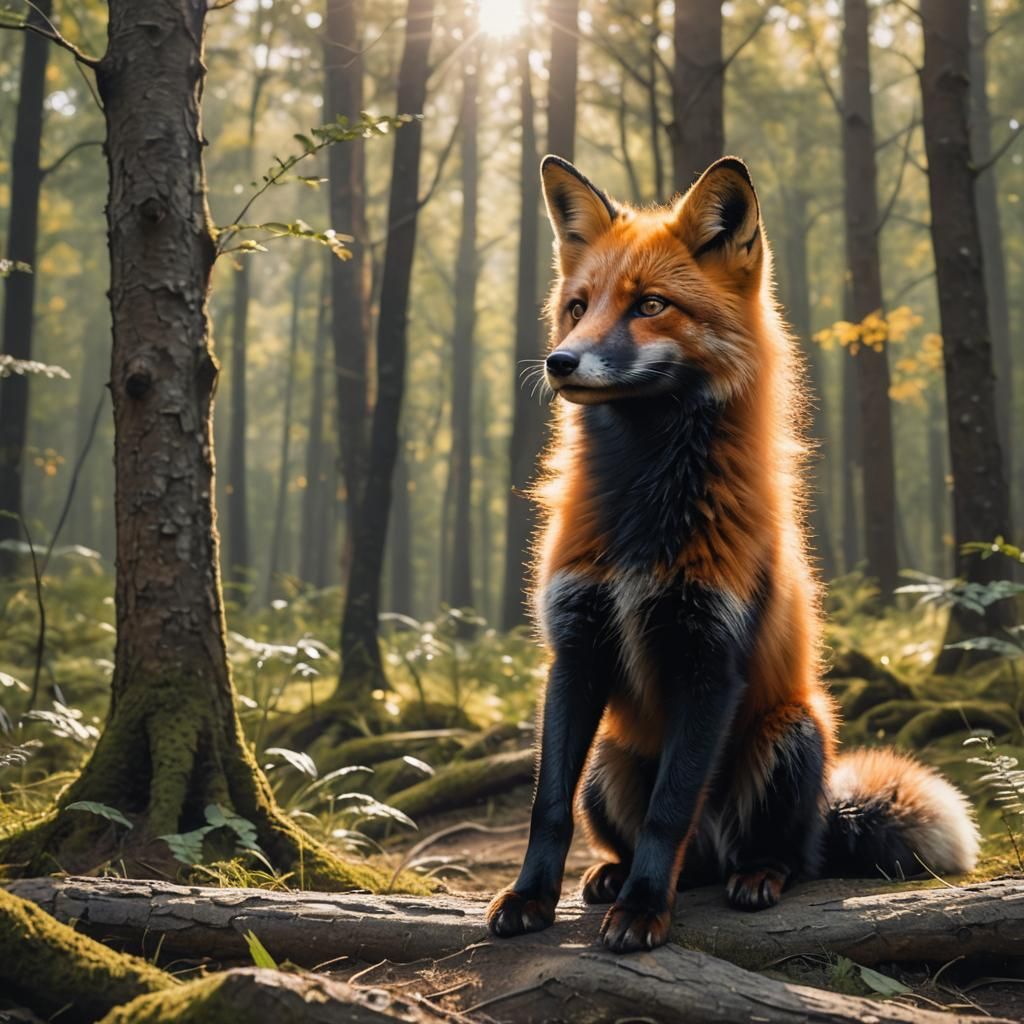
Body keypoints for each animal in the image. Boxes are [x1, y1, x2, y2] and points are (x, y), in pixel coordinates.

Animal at [486, 155, 979, 954]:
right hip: (610, 756)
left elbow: (669, 811)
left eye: (650, 305)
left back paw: (751, 876)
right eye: (577, 307)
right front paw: (533, 897)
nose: (559, 362)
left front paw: (645, 912)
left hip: (791, 732)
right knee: (652, 845)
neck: (644, 510)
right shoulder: (574, 650)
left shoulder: (711, 658)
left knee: (788, 856)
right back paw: (613, 875)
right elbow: (547, 806)